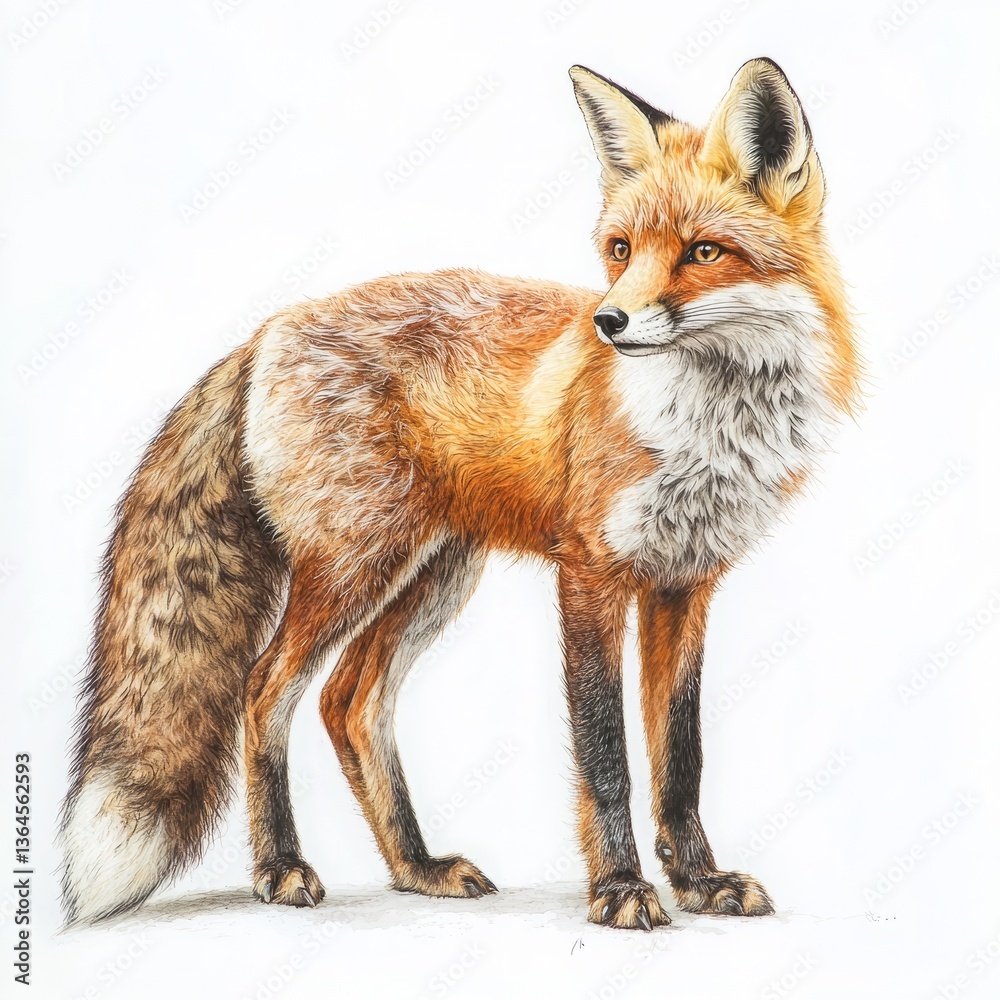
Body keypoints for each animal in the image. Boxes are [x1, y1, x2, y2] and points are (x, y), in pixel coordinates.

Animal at [60, 57, 860, 931]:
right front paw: (619, 889)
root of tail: (266, 332)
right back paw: (280, 866)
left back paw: (415, 867)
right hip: (356, 565)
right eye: (620, 250)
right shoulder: (590, 574)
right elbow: (606, 756)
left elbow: (680, 760)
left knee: (349, 702)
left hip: (433, 575)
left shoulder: (685, 583)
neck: (709, 429)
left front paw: (699, 882)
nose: (609, 321)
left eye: (703, 252)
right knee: (266, 687)